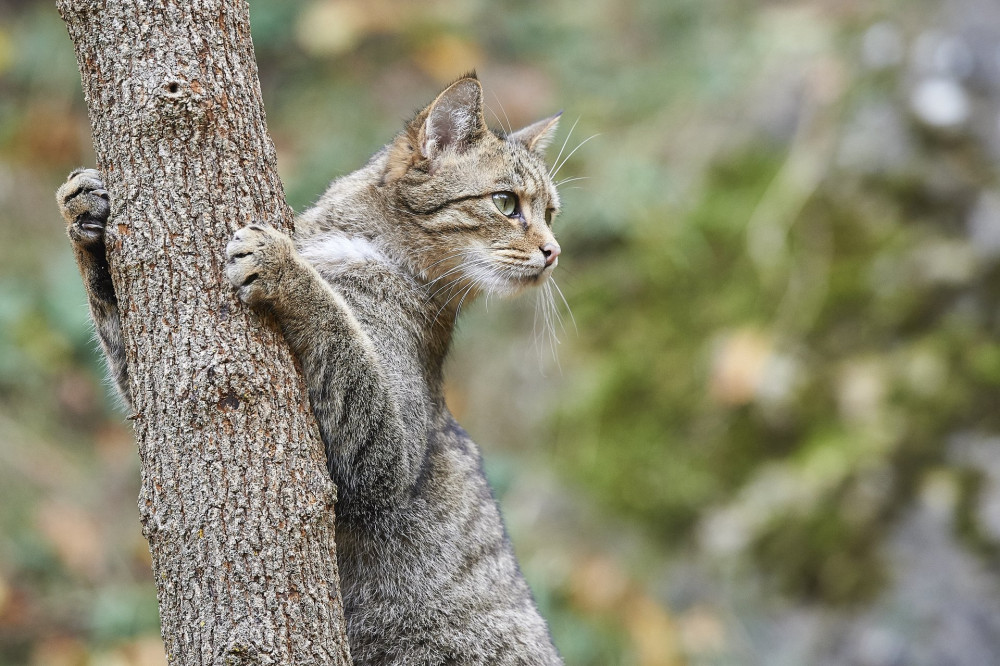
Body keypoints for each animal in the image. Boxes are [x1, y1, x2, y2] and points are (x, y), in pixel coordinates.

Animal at [58, 75, 568, 660]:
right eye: (507, 203)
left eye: (550, 213)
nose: (554, 250)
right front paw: (85, 211)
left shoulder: (384, 464)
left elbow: (336, 326)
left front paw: (285, 266)